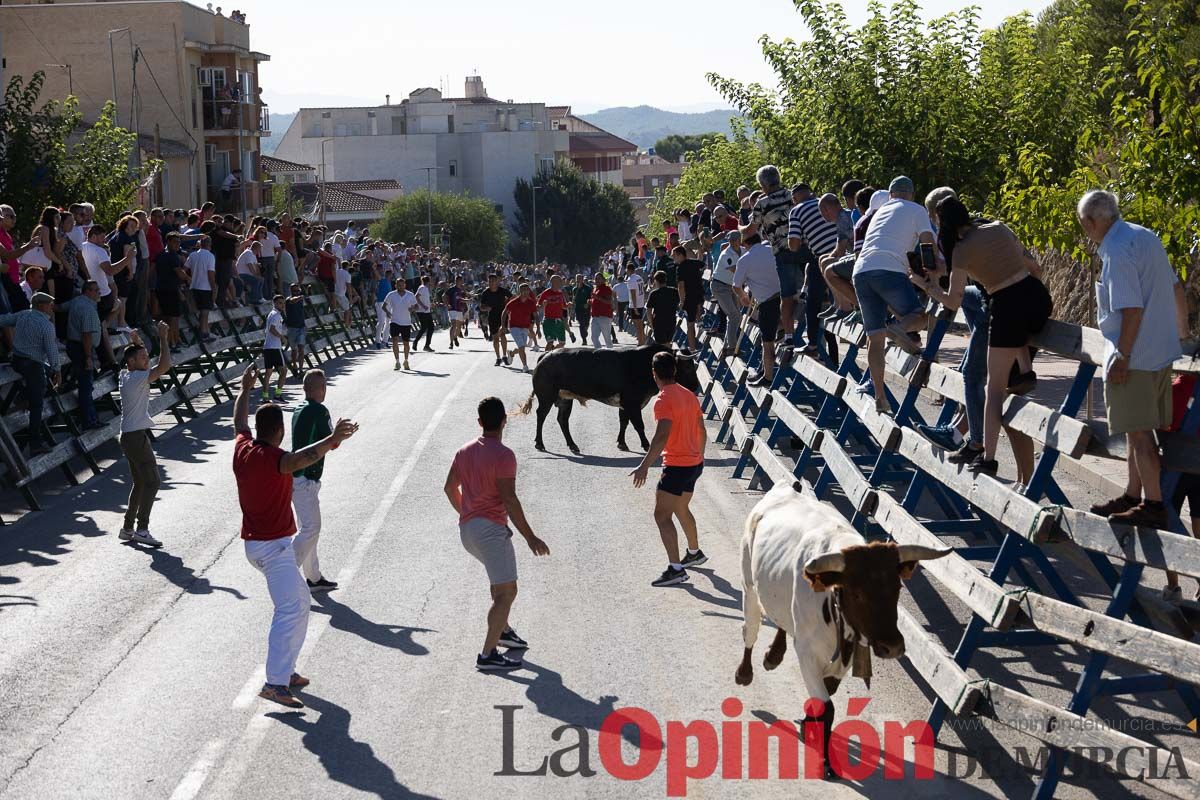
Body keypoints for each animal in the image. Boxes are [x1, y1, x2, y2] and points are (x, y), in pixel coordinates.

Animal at [516, 345, 700, 453]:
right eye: (688, 366)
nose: (696, 386)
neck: (644, 364)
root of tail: (546, 355)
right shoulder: (632, 403)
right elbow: (638, 425)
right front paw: (646, 445)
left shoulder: (626, 405)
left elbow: (624, 422)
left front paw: (622, 443)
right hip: (546, 397)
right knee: (541, 415)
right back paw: (540, 443)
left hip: (565, 399)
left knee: (562, 419)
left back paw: (572, 445)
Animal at [729, 484, 945, 777]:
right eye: (857, 593)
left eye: (898, 588)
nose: (892, 646)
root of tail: (784, 488)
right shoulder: (808, 653)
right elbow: (827, 706)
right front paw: (825, 759)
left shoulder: (846, 655)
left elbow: (827, 694)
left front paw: (808, 724)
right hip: (749, 585)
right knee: (750, 629)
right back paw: (745, 671)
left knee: (783, 620)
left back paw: (773, 656)